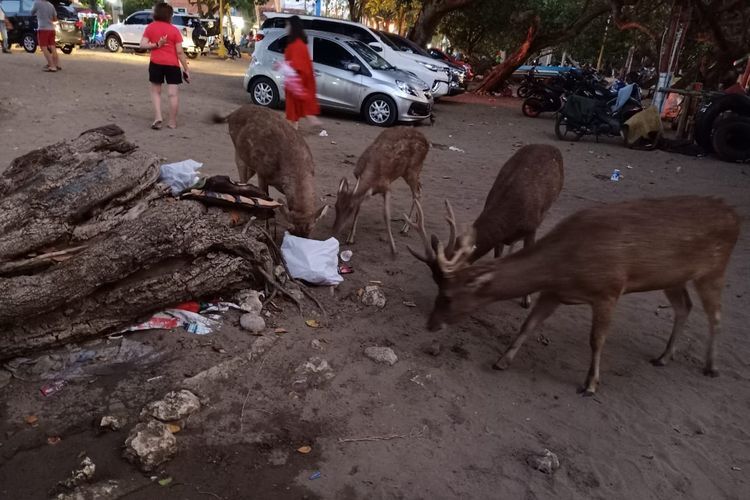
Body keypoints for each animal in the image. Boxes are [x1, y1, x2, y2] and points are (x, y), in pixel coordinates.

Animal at [214, 104, 326, 237]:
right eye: (291, 230)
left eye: (310, 232)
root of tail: (232, 114)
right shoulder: (262, 173)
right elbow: (265, 201)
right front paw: (266, 232)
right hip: (239, 153)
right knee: (242, 178)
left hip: (251, 164)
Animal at [334, 125, 432, 254]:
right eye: (335, 206)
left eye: (350, 208)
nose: (335, 228)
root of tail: (427, 142)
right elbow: (359, 207)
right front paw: (350, 238)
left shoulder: (386, 186)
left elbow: (386, 215)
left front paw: (393, 248)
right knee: (419, 188)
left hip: (413, 168)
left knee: (417, 192)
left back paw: (405, 227)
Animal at [406, 145, 564, 306]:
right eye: (435, 280)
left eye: (452, 281)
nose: (443, 301)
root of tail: (551, 146)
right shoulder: (500, 237)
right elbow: (497, 258)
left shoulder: (531, 228)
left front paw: (526, 300)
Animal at [408, 195, 744, 394]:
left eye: (447, 295)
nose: (429, 324)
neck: (564, 265)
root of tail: (735, 215)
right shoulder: (553, 292)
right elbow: (528, 325)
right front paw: (502, 360)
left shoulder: (609, 289)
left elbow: (596, 339)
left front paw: (590, 383)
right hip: (672, 277)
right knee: (684, 307)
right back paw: (663, 357)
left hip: (715, 269)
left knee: (715, 315)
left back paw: (711, 367)